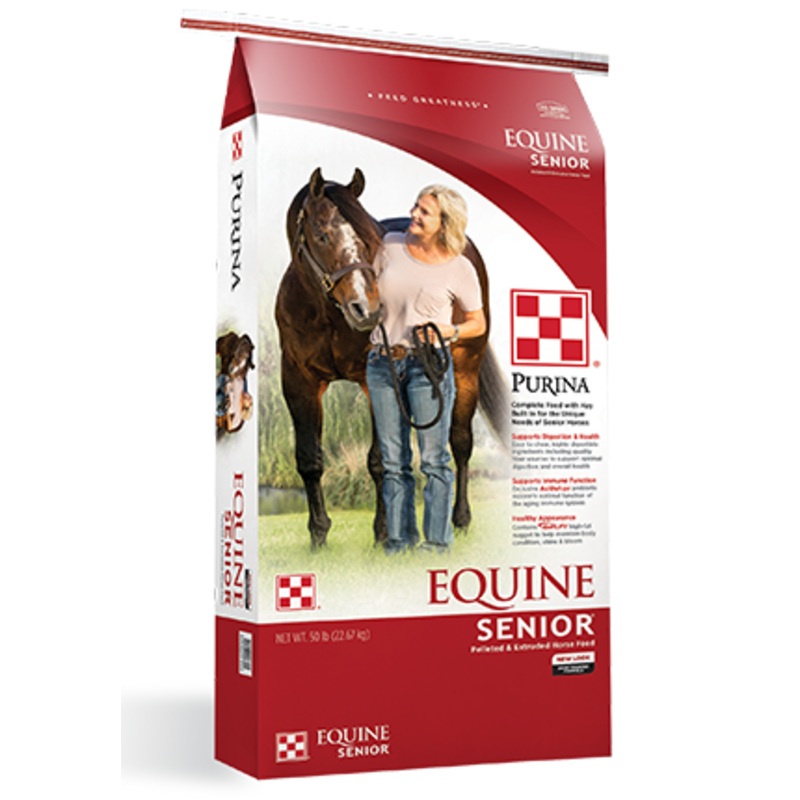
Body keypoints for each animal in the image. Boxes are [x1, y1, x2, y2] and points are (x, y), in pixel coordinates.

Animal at [275, 167, 507, 548]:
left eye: (367, 241)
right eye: (321, 235)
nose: (365, 310)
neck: (326, 314)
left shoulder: (373, 383)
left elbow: (380, 461)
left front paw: (383, 534)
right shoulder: (299, 381)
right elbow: (309, 459)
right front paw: (319, 536)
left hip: (466, 371)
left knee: (460, 444)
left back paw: (459, 520)